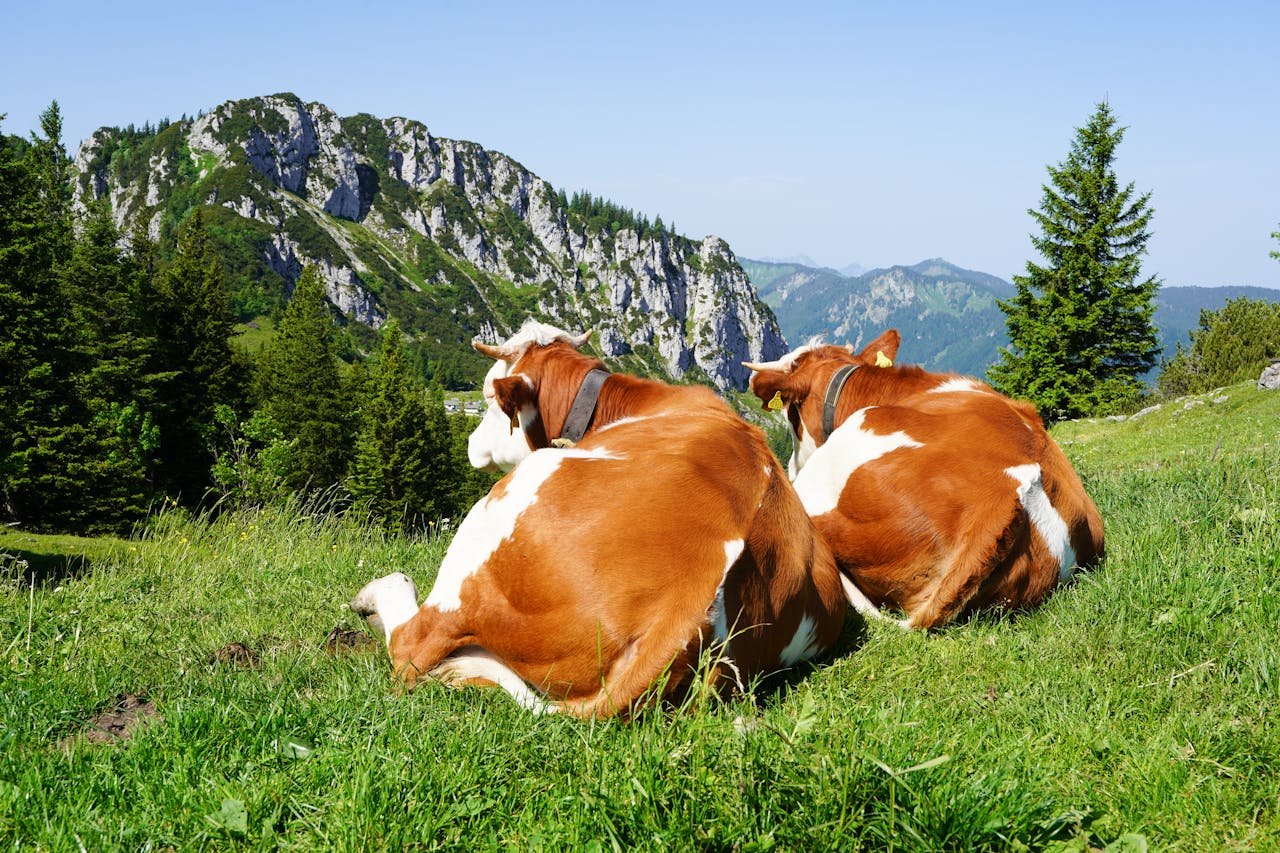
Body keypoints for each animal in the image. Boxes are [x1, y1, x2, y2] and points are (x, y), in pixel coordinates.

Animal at [352, 321, 847, 717]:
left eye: (490, 396)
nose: (472, 443)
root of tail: (687, 599)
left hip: (496, 519)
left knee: (411, 644)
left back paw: (375, 597)